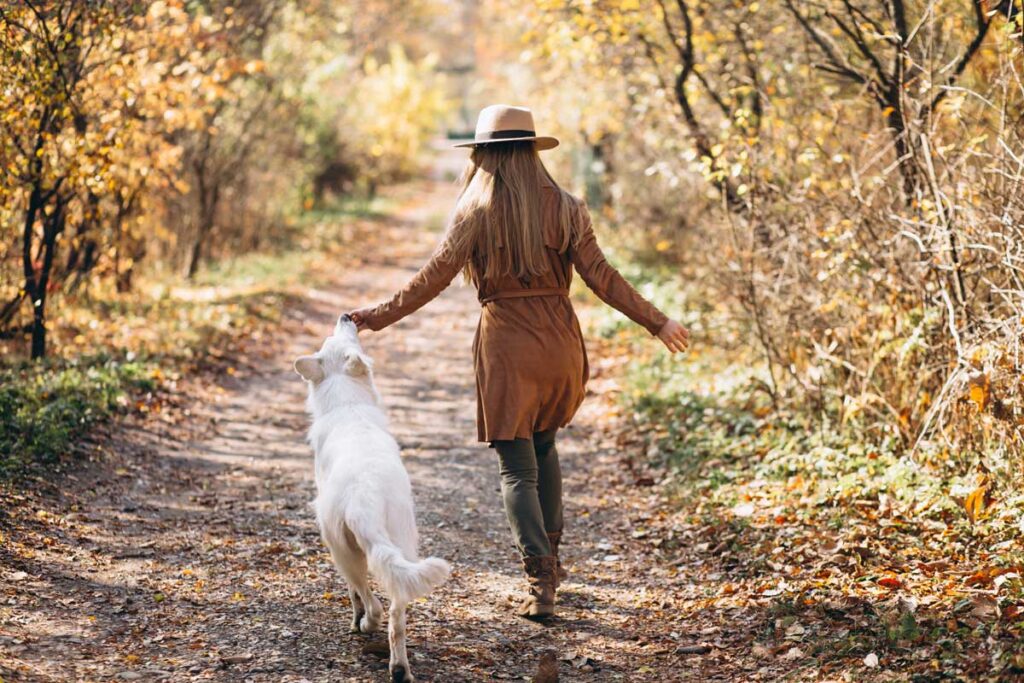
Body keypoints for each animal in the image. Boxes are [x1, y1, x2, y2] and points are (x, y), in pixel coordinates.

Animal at [290, 317, 446, 683]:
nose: (346, 316)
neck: (347, 403)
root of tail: (364, 502)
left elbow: (354, 595)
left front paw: (355, 620)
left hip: (341, 550)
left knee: (369, 598)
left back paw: (365, 625)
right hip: (402, 546)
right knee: (396, 617)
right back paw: (400, 669)